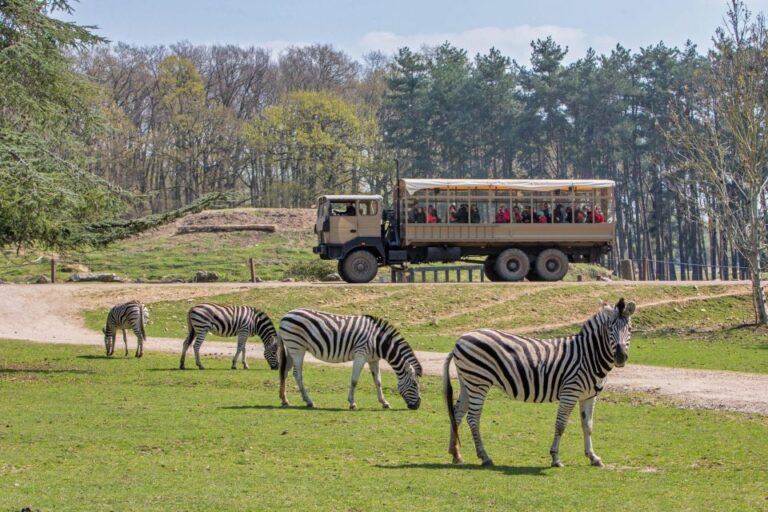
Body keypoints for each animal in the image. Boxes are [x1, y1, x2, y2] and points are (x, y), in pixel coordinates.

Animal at [278, 308, 424, 412]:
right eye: (415, 384)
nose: (417, 406)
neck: (378, 341)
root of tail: (285, 316)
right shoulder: (360, 354)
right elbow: (354, 380)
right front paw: (352, 403)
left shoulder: (373, 359)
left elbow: (378, 381)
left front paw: (384, 402)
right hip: (297, 348)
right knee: (297, 375)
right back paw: (309, 401)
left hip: (291, 348)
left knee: (284, 372)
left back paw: (284, 400)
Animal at [444, 296, 636, 468]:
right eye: (610, 328)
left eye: (630, 329)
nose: (620, 357)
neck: (588, 356)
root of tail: (460, 340)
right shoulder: (570, 392)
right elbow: (561, 425)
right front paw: (555, 458)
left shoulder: (589, 396)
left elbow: (587, 426)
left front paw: (593, 457)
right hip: (479, 381)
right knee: (473, 418)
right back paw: (484, 457)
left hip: (467, 381)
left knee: (457, 413)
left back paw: (456, 454)